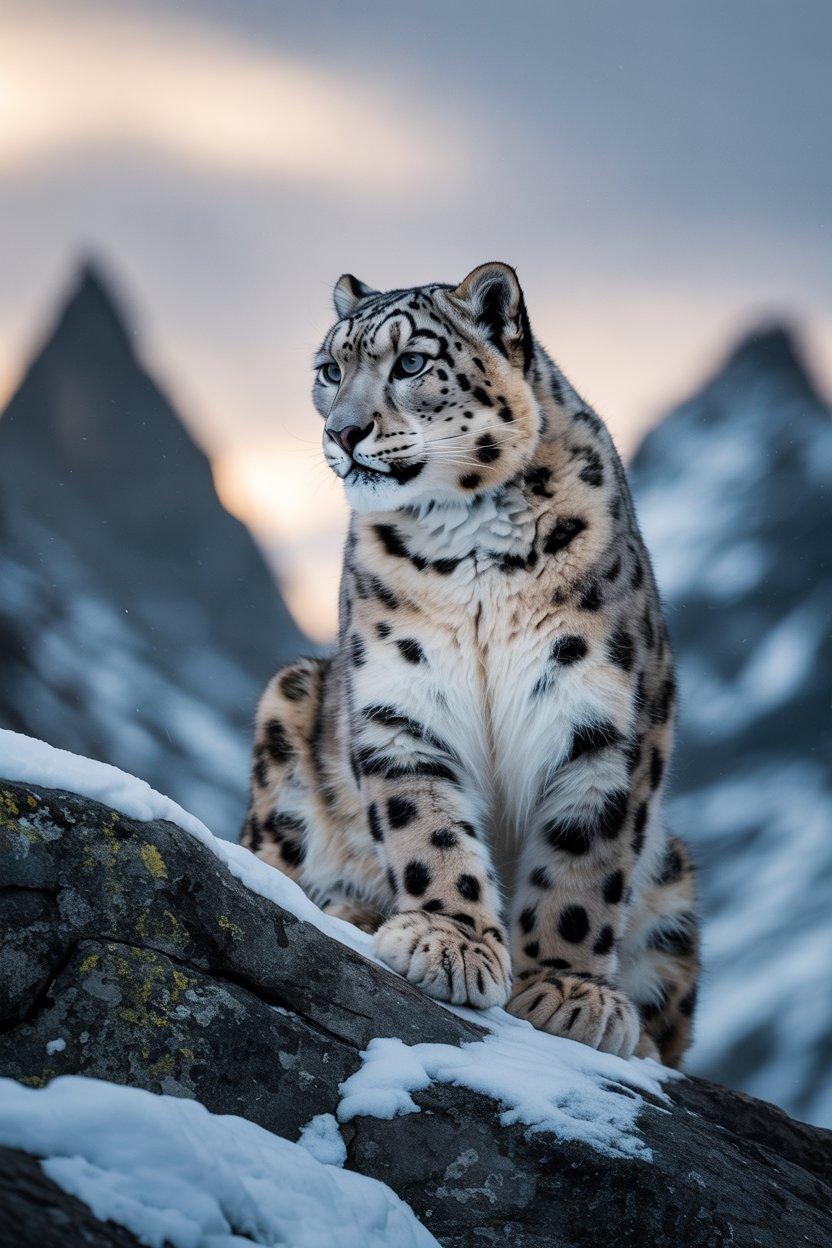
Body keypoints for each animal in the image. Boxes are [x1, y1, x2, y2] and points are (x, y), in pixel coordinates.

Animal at [242, 262, 699, 1064]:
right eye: (330, 370)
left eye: (411, 363)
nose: (342, 431)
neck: (473, 546)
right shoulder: (401, 702)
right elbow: (427, 829)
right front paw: (449, 941)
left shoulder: (604, 720)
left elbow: (585, 865)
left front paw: (567, 990)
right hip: (289, 701)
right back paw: (355, 909)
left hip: (675, 884)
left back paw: (639, 1037)